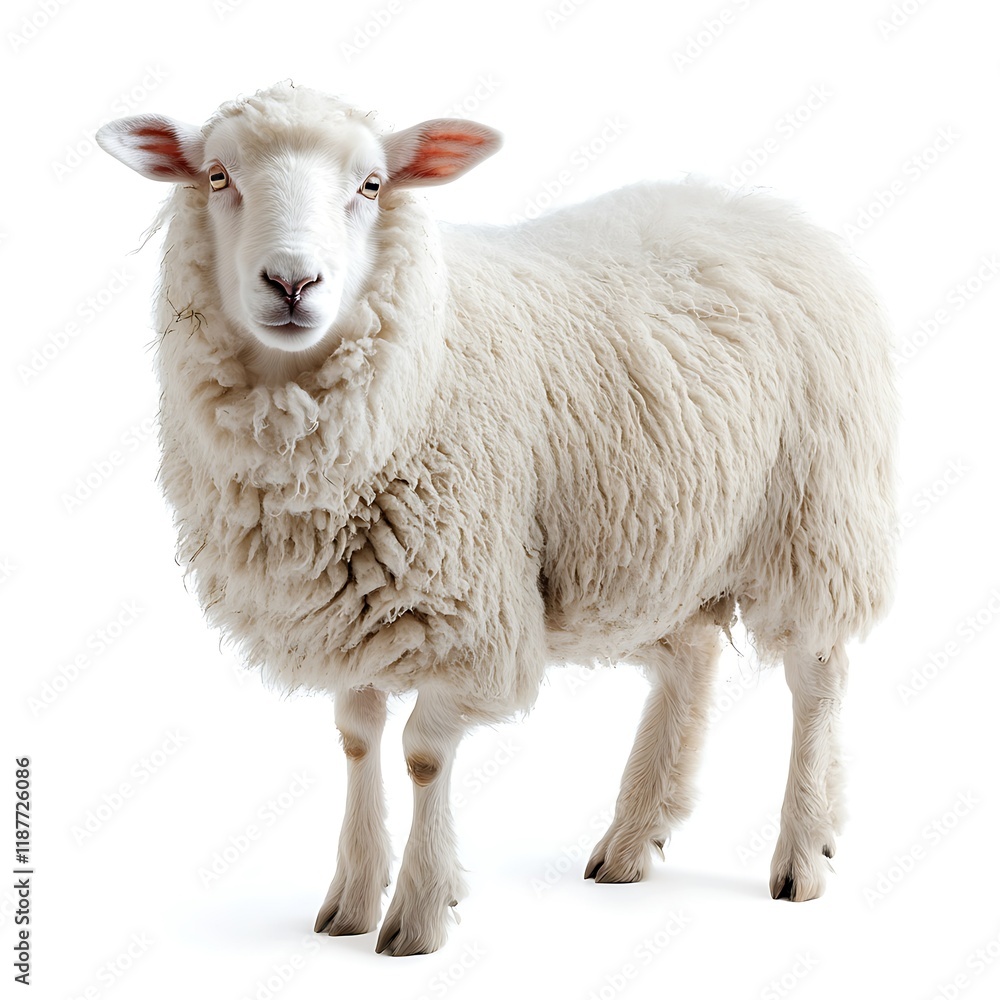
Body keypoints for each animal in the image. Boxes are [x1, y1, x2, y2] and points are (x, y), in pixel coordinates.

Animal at [96, 82, 896, 957]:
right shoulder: (347, 607)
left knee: (815, 675)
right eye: (217, 176)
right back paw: (632, 840)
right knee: (688, 661)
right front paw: (352, 899)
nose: (292, 282)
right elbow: (356, 735)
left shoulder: (469, 610)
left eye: (371, 184)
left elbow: (421, 753)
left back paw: (802, 853)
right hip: (659, 538)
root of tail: (763, 208)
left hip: (815, 518)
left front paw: (418, 913)